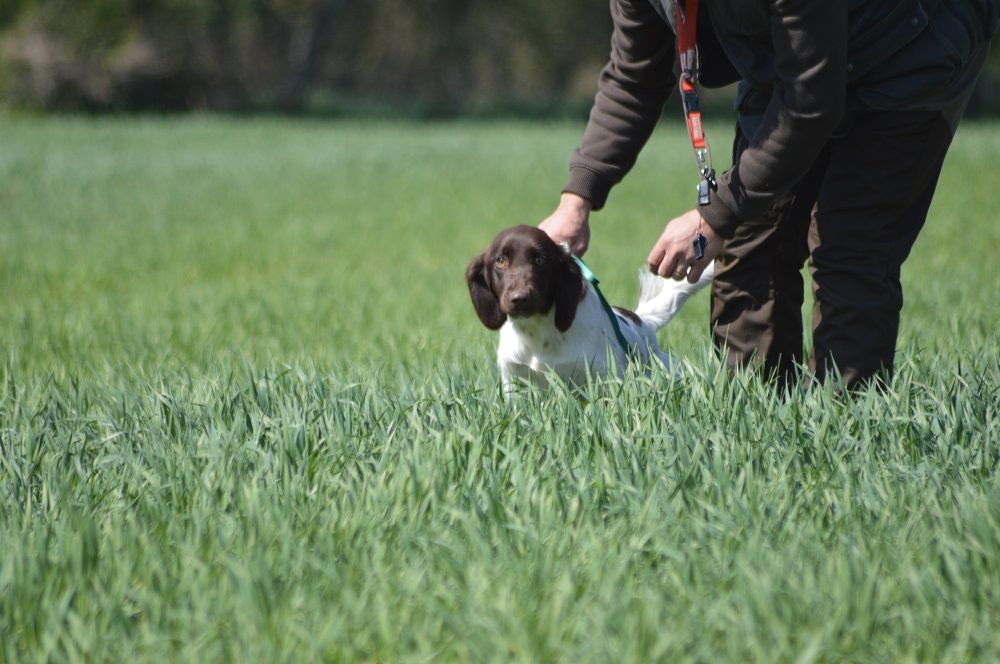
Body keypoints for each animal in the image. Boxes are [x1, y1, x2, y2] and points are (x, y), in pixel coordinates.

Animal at [466, 224, 712, 390]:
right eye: (500, 261)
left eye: (540, 260)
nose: (519, 298)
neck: (538, 332)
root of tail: (642, 322)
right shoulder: (514, 380)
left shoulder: (604, 376)